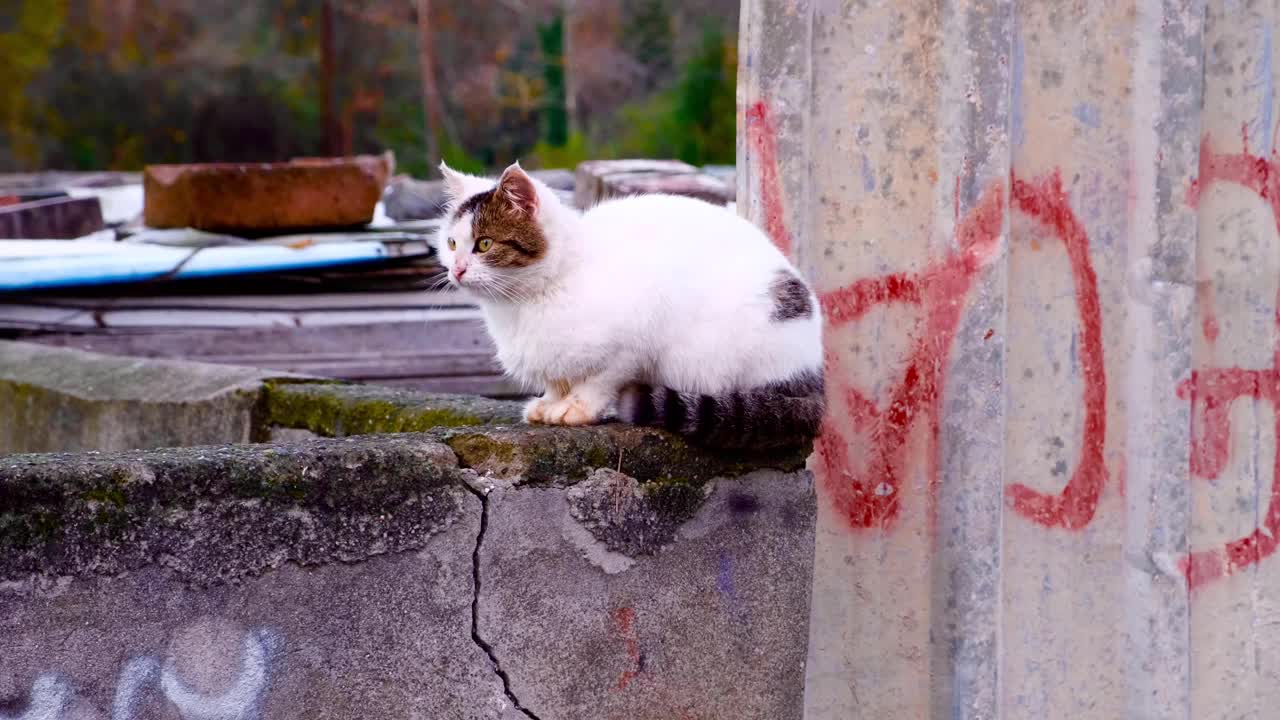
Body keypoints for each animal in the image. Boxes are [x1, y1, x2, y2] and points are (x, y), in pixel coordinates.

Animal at [435, 159, 824, 445]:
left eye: (484, 244)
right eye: (452, 243)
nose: (456, 269)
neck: (523, 304)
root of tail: (813, 372)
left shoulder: (635, 337)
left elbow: (603, 378)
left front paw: (577, 407)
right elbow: (558, 379)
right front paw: (550, 403)